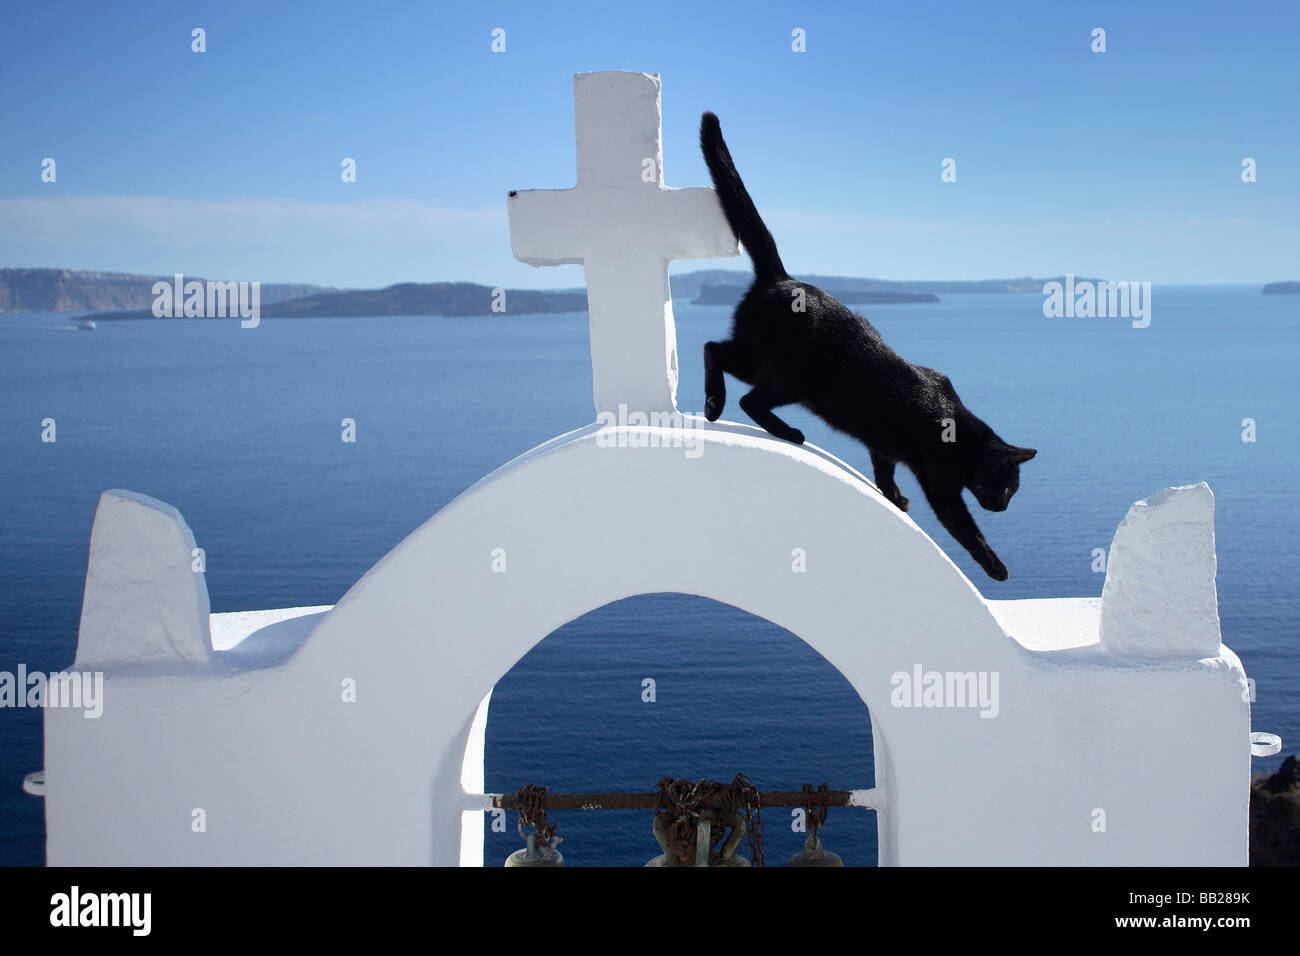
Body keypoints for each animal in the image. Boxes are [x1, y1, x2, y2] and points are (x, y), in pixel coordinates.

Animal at [702, 117, 1034, 587]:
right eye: (1005, 486)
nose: (1004, 507)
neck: (961, 429)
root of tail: (781, 277)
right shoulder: (939, 482)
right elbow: (964, 527)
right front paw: (995, 566)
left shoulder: (884, 445)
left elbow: (883, 468)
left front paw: (894, 496)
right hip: (796, 378)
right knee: (750, 398)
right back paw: (779, 428)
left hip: (756, 356)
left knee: (714, 348)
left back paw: (716, 402)